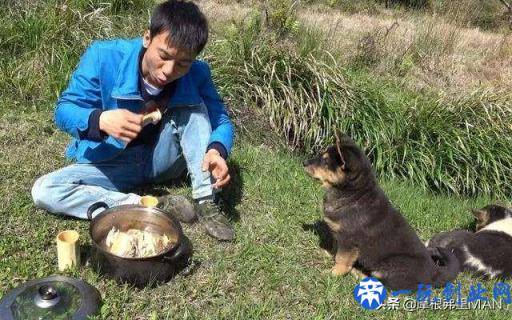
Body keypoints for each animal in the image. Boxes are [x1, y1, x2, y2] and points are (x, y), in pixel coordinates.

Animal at [304, 134, 460, 290]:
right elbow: (336, 249)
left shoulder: (349, 241)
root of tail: (434, 273)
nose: (304, 163)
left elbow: (342, 259)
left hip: (391, 266)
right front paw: (327, 253)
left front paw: (332, 274)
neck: (354, 193)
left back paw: (359, 275)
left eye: (325, 161)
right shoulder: (338, 235)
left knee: (383, 283)